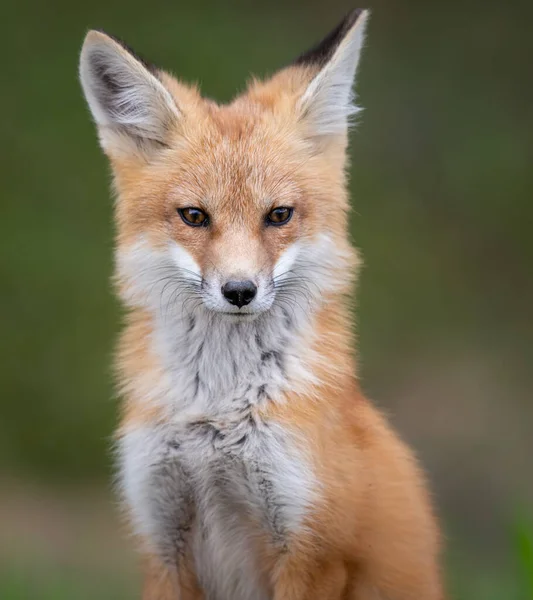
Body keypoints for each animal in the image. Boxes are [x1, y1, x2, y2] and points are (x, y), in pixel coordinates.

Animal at [79, 5, 442, 600]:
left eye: (278, 215)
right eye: (194, 216)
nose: (240, 291)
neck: (216, 413)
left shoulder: (311, 550)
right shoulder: (161, 539)